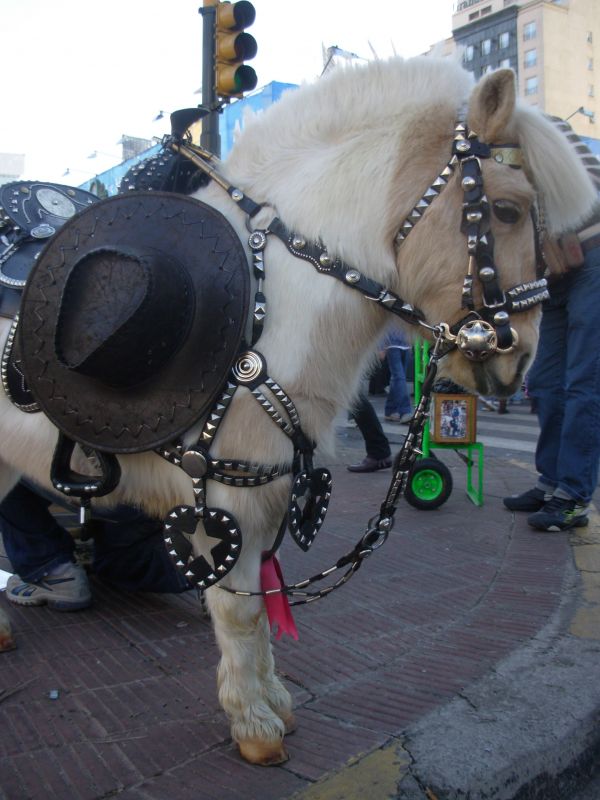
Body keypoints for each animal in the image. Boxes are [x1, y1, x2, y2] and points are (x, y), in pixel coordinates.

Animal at [0, 57, 596, 764]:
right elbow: (239, 609)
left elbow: (260, 601)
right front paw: (253, 726)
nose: (517, 361)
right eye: (504, 209)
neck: (268, 310)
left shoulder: (267, 492)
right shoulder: (219, 499)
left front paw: (273, 703)